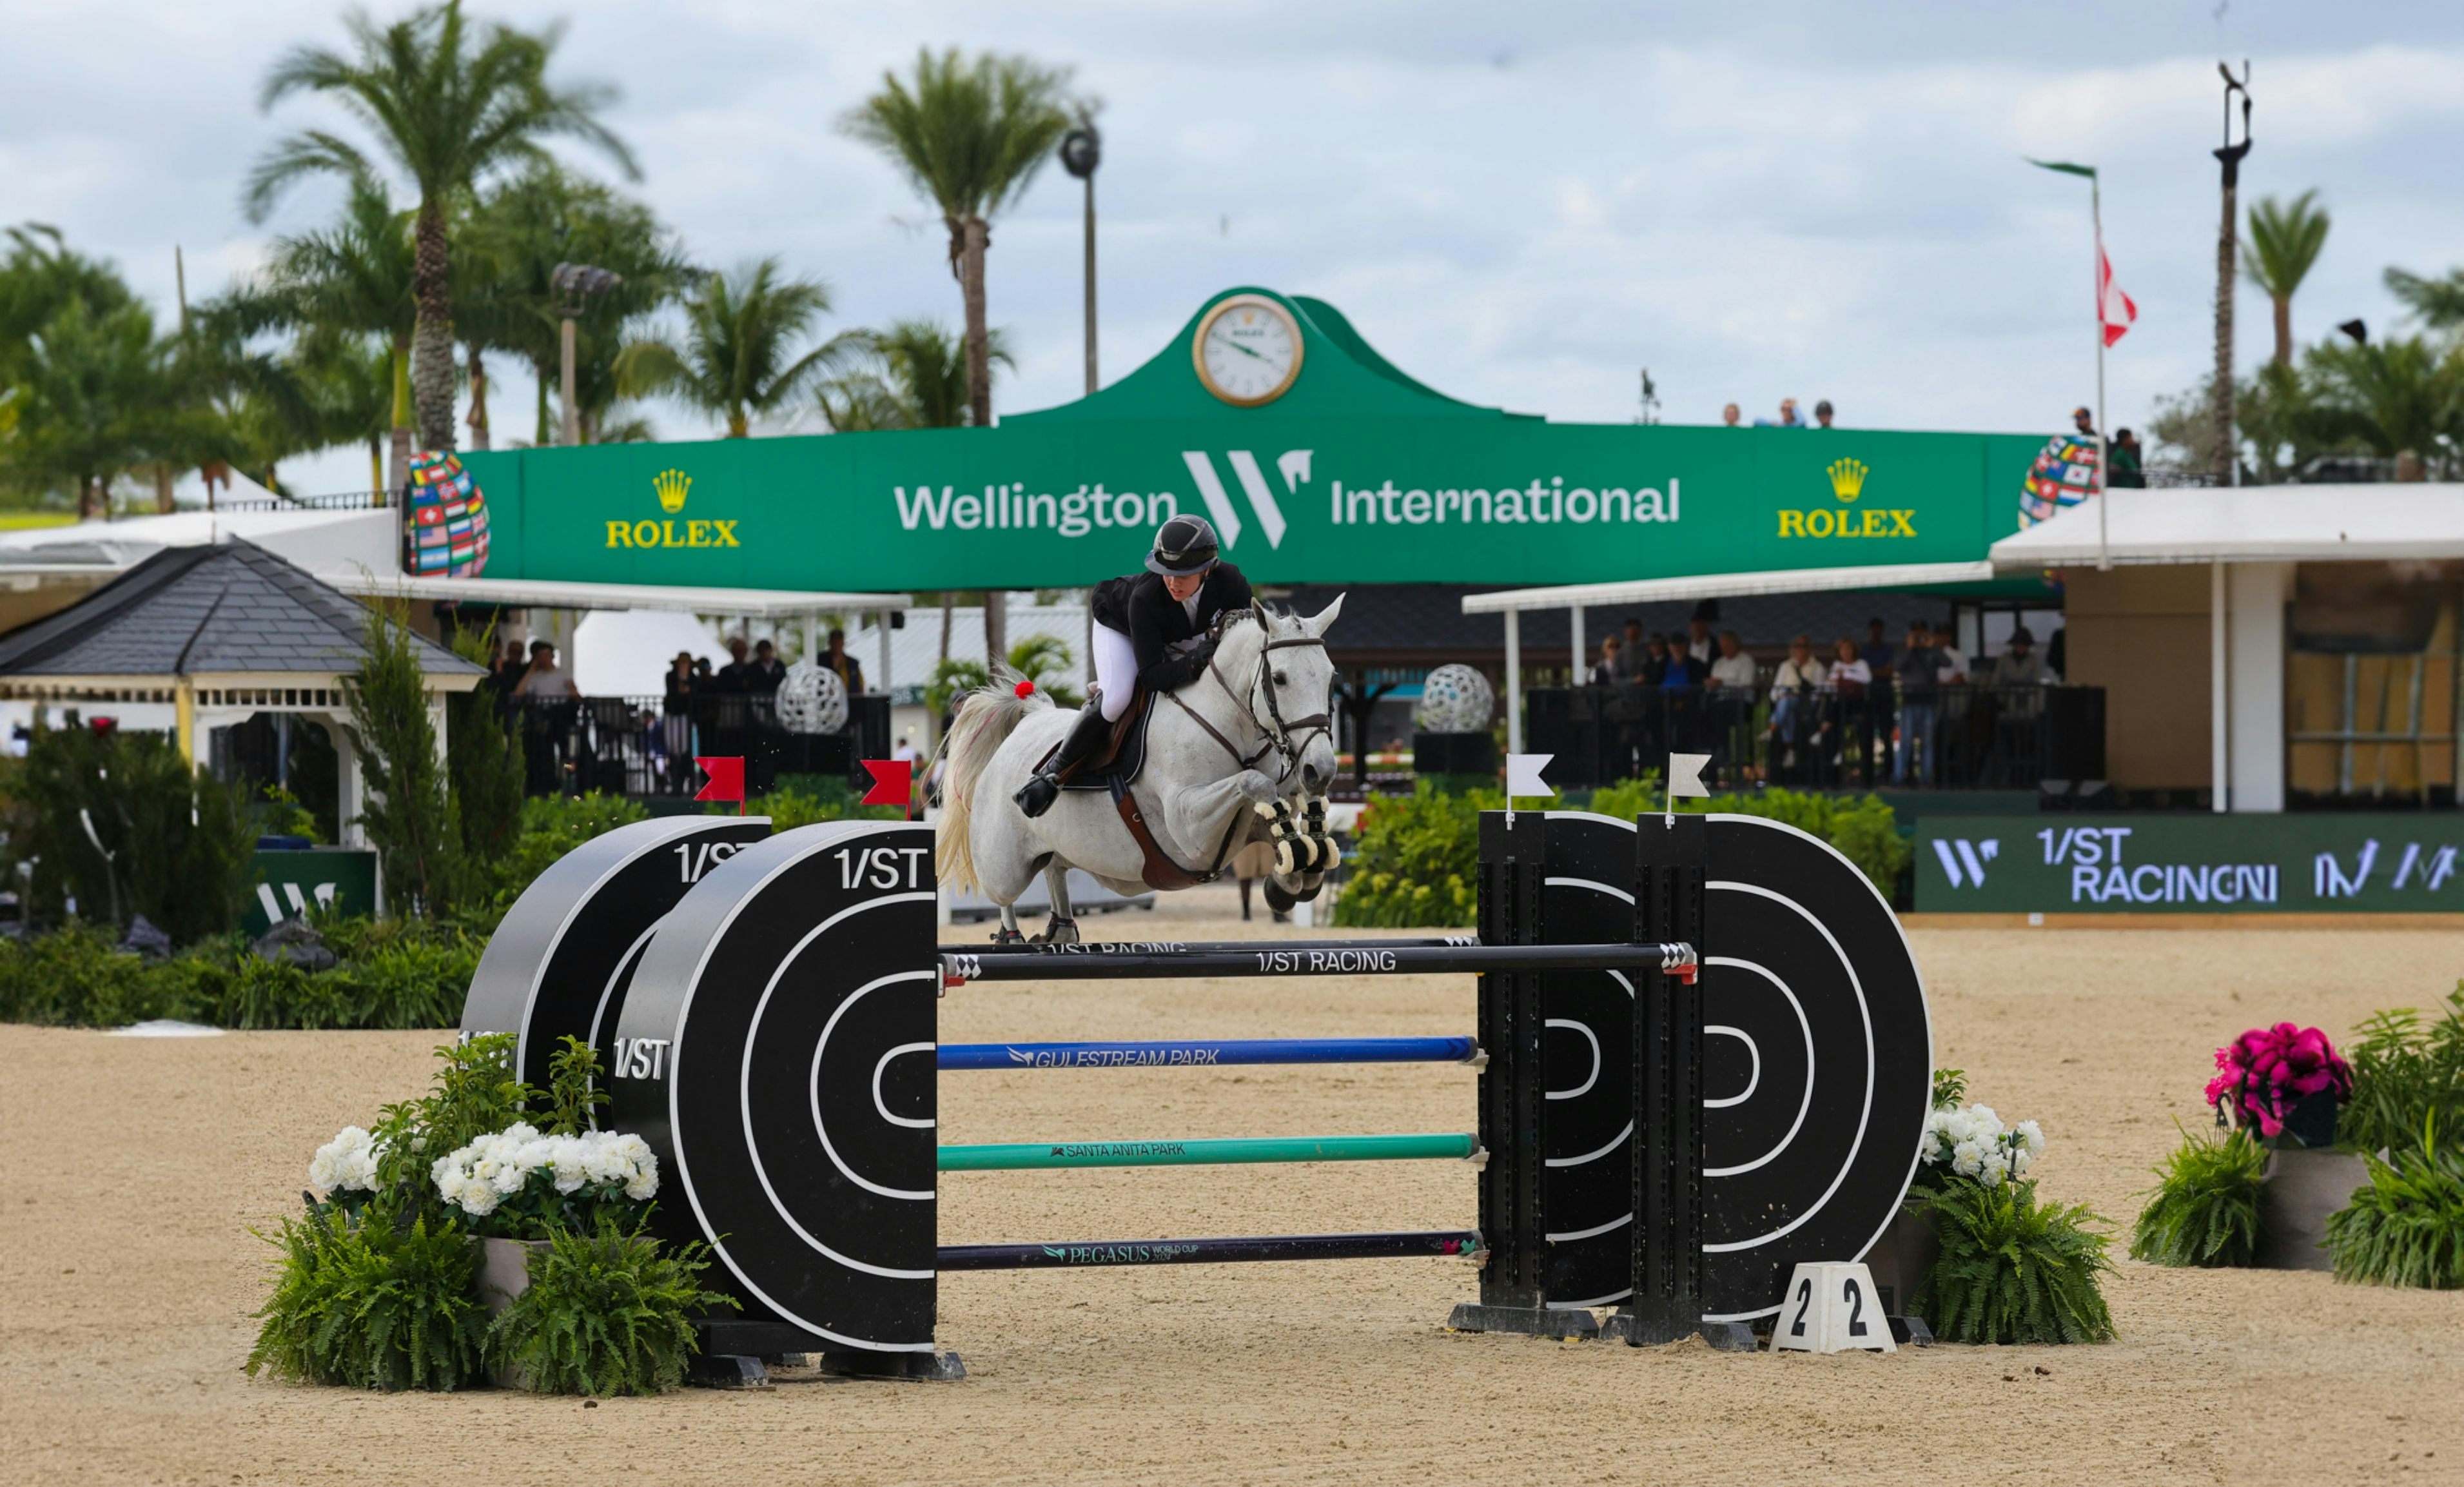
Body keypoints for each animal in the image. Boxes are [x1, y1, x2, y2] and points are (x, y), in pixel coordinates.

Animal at [931, 596, 1350, 937]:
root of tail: (1029, 719)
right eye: (1279, 679)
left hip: (1058, 847)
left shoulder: (1246, 824)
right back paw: (1012, 936)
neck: (1231, 725)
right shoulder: (1189, 826)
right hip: (1004, 866)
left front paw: (1294, 871)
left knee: (1054, 867)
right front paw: (1295, 854)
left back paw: (1061, 929)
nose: (1320, 770)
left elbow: (1279, 816)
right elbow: (1254, 783)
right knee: (1002, 894)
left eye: (1332, 677)